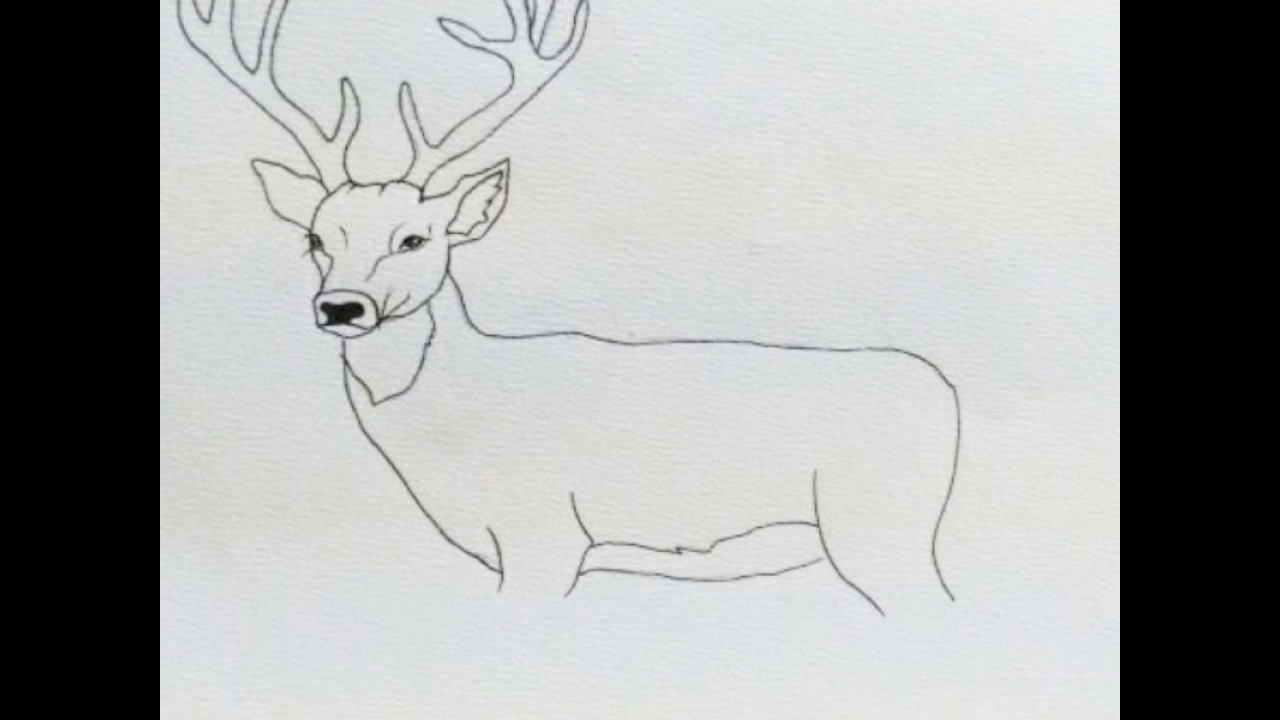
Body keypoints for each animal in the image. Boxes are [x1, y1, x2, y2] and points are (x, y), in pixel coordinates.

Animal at [176, 0, 961, 614]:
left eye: (415, 237)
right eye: (315, 237)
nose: (342, 306)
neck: (452, 427)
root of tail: (950, 398)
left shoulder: (543, 534)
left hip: (880, 526)